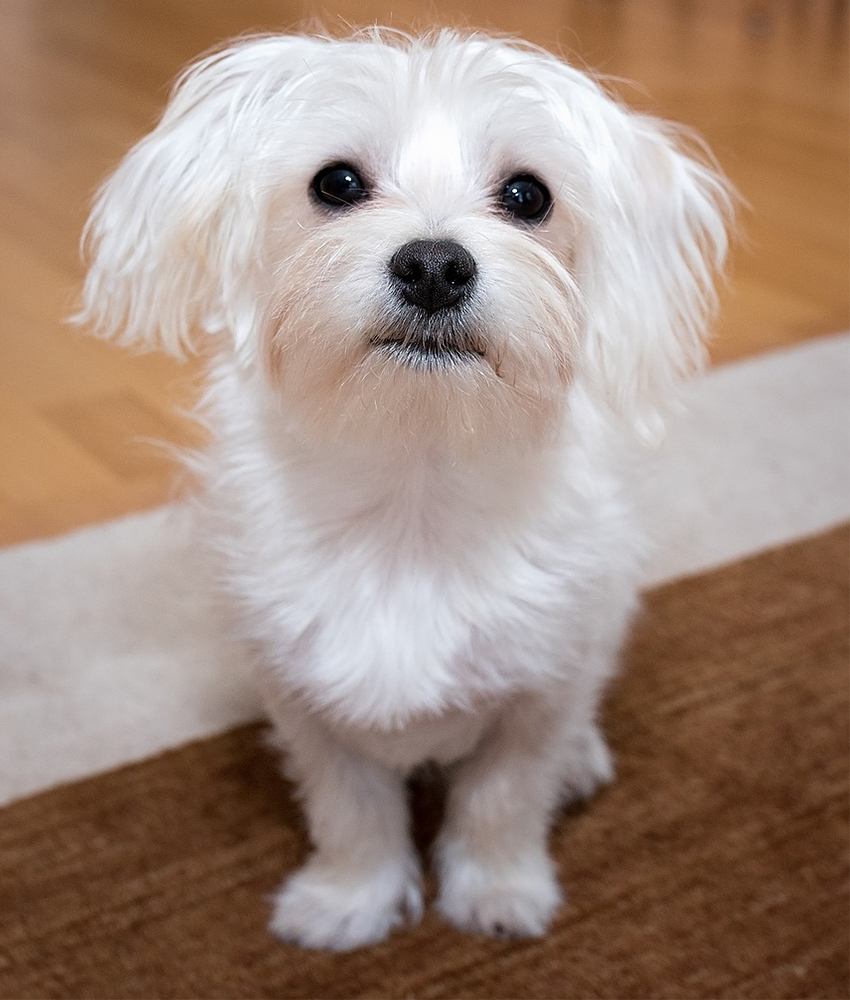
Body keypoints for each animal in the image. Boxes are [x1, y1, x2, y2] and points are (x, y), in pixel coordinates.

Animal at [76, 29, 732, 952]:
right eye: (337, 183)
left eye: (528, 195)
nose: (432, 265)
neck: (413, 486)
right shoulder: (305, 699)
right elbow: (350, 810)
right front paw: (347, 901)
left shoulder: (542, 690)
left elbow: (502, 800)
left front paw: (499, 892)